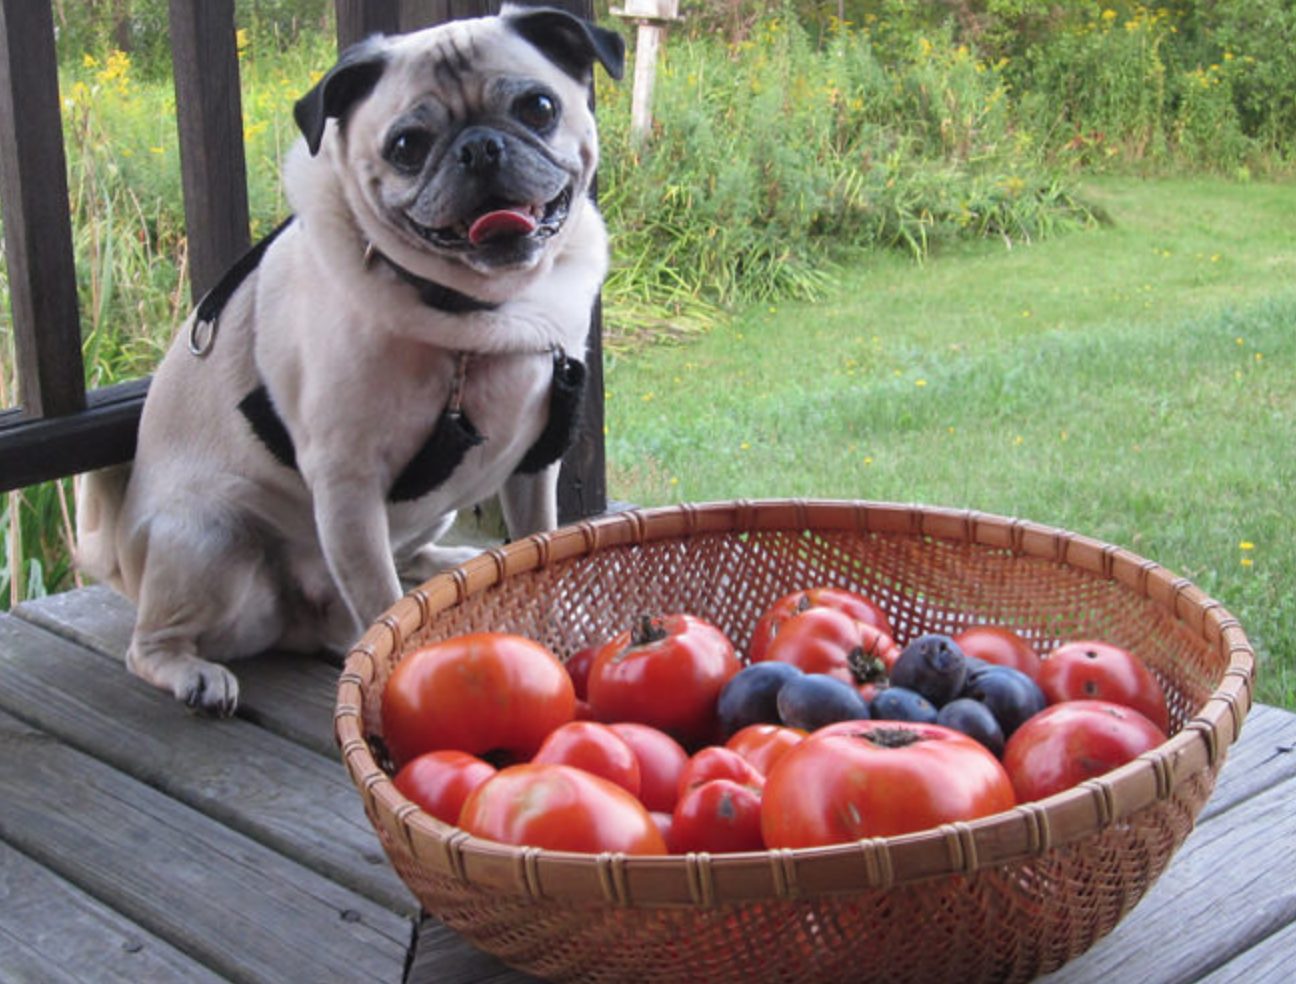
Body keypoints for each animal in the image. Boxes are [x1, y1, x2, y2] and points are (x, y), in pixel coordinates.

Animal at [74, 1, 627, 715]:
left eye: (538, 107)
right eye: (406, 147)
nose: (480, 146)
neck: (481, 309)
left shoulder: (535, 465)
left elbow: (541, 548)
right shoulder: (348, 487)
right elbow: (383, 605)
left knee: (405, 561)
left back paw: (445, 564)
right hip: (211, 537)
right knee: (149, 643)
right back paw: (194, 673)